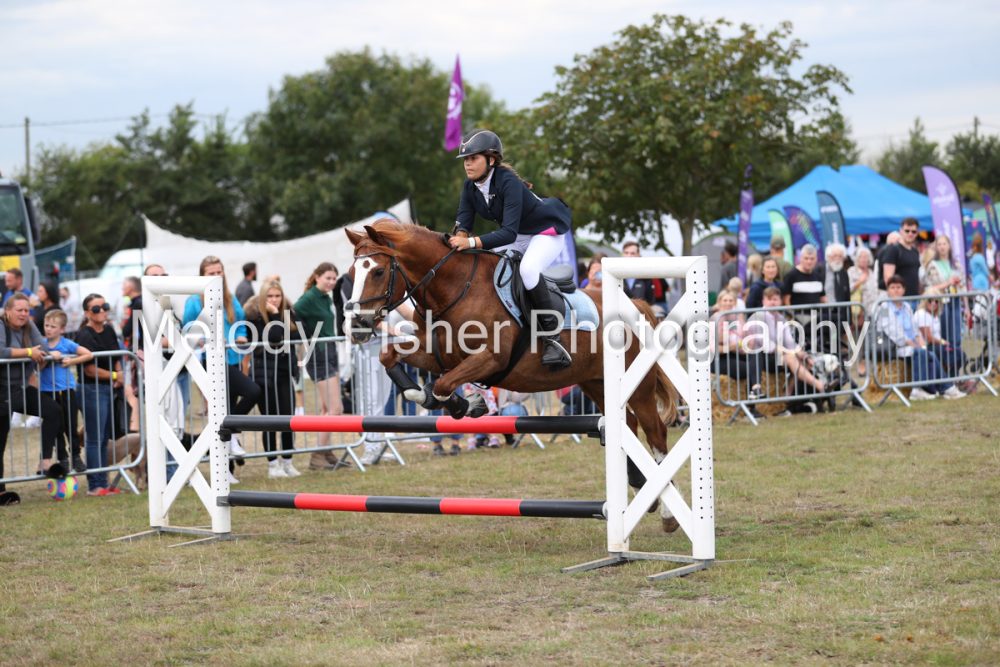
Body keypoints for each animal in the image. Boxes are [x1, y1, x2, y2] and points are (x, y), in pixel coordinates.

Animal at [344, 220, 679, 531]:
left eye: (377, 271)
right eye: (350, 274)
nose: (357, 325)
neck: (454, 289)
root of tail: (635, 305)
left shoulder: (491, 359)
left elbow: (443, 384)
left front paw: (467, 405)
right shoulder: (435, 353)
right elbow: (390, 358)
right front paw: (430, 396)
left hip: (639, 387)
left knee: (655, 432)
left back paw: (667, 513)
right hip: (596, 383)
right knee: (628, 426)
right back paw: (640, 489)